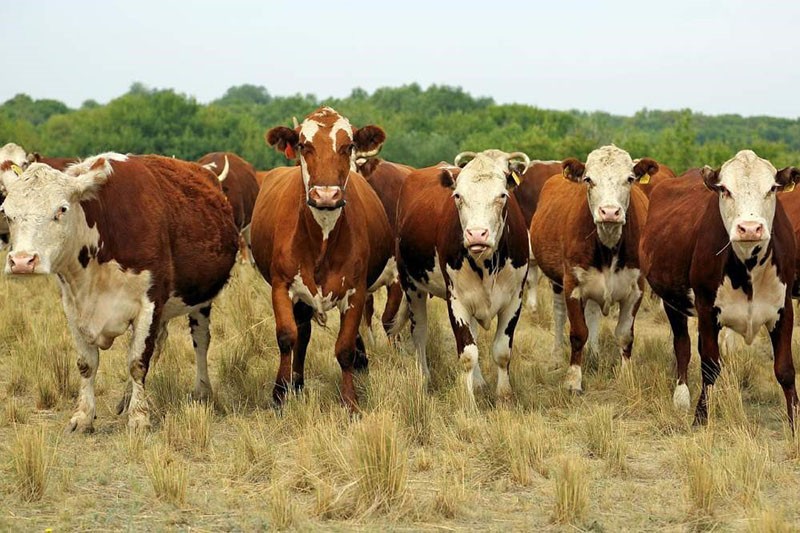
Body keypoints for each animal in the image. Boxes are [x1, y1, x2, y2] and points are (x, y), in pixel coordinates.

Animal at [0, 151, 238, 432]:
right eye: (7, 213)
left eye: (61, 209)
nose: (22, 261)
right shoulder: (73, 307)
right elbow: (87, 364)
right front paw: (83, 416)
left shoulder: (150, 303)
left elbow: (138, 362)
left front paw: (139, 418)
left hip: (200, 300)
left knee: (200, 340)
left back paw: (202, 390)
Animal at [252, 106, 396, 410]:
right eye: (304, 145)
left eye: (348, 145)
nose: (327, 195)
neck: (321, 240)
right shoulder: (281, 287)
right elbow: (287, 337)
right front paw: (279, 395)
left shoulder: (356, 292)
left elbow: (345, 348)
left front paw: (350, 401)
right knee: (302, 333)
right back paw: (295, 382)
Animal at [392, 148, 532, 406]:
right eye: (458, 196)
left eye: (502, 195)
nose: (476, 234)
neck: (487, 265)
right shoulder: (456, 300)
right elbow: (467, 354)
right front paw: (468, 402)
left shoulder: (515, 299)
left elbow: (502, 351)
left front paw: (504, 396)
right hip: (411, 285)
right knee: (419, 333)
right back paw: (425, 378)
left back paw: (478, 383)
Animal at [532, 144, 656, 390]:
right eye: (588, 179)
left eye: (629, 179)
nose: (609, 212)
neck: (608, 245)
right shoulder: (572, 284)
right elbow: (578, 332)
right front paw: (573, 380)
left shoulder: (636, 288)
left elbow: (624, 334)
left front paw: (626, 376)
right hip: (556, 281)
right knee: (559, 315)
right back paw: (556, 356)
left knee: (592, 313)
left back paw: (594, 353)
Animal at [640, 150, 800, 424]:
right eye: (725, 189)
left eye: (772, 189)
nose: (749, 229)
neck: (748, 268)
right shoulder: (706, 308)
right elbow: (710, 365)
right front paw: (700, 417)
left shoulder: (784, 308)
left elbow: (785, 370)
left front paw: (795, 422)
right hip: (672, 301)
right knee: (682, 346)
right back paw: (681, 396)